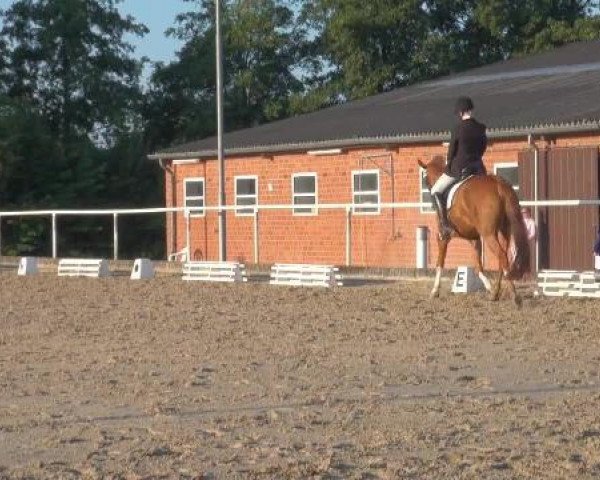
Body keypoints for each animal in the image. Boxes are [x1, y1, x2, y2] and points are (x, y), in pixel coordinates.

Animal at [418, 158, 528, 308]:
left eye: (424, 179)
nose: (431, 204)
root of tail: (498, 184)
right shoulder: (474, 238)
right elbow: (478, 266)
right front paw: (489, 288)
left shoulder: (442, 237)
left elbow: (440, 263)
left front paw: (435, 291)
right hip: (504, 232)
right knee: (503, 257)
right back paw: (495, 293)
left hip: (489, 235)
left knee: (502, 256)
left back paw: (514, 296)